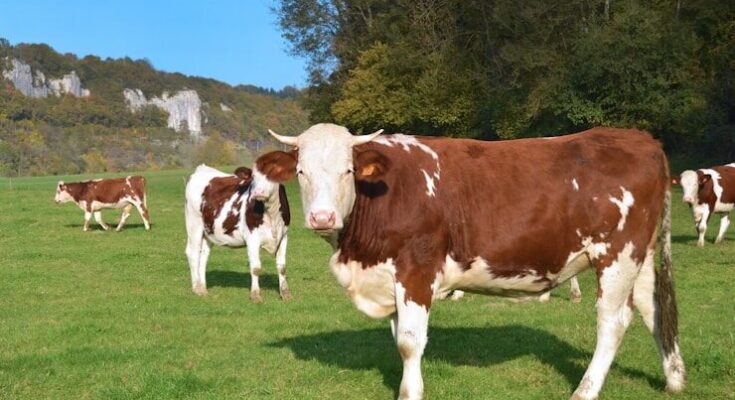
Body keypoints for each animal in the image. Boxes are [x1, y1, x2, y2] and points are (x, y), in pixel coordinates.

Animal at [184, 164, 291, 303]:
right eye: (253, 177)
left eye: (272, 175)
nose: (258, 192)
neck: (271, 214)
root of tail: (202, 169)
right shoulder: (252, 238)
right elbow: (255, 267)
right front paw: (255, 295)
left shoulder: (283, 236)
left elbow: (282, 267)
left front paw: (285, 293)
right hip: (194, 224)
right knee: (193, 253)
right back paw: (197, 288)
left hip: (208, 231)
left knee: (203, 256)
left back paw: (203, 287)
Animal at [257, 123, 685, 400]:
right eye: (301, 172)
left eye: (347, 171)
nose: (322, 217)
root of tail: (641, 138)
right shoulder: (388, 277)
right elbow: (399, 339)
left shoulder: (416, 268)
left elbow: (409, 342)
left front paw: (410, 393)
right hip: (640, 255)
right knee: (653, 306)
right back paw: (674, 379)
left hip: (617, 254)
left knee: (613, 321)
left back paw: (585, 390)